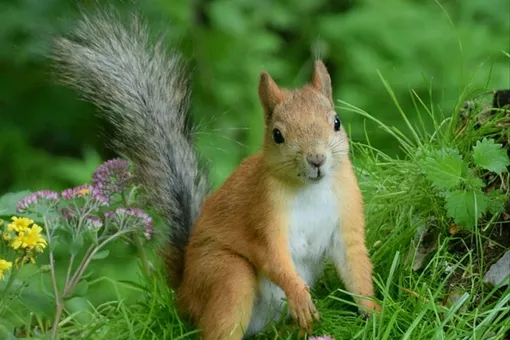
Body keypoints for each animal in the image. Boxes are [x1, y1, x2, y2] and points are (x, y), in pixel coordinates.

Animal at [51, 9, 380, 338]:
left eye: (336, 122)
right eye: (277, 135)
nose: (316, 159)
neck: (311, 189)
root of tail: (183, 294)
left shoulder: (347, 211)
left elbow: (356, 267)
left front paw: (375, 313)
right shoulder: (261, 215)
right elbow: (273, 258)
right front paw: (300, 297)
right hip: (226, 275)